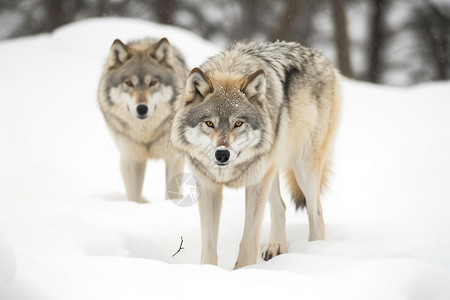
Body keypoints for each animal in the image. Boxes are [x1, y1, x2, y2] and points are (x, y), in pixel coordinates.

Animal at [98, 37, 188, 202]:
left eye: (152, 82)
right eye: (129, 83)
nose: (142, 108)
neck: (146, 134)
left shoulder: (174, 159)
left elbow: (172, 194)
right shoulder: (133, 160)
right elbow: (134, 197)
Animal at [172, 41, 342, 268]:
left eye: (238, 123)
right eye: (209, 123)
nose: (222, 155)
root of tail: (324, 59)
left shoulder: (255, 184)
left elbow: (249, 238)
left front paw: (245, 270)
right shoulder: (208, 186)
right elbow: (208, 245)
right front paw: (208, 271)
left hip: (302, 169)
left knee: (316, 211)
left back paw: (314, 252)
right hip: (269, 171)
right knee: (281, 207)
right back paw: (277, 246)